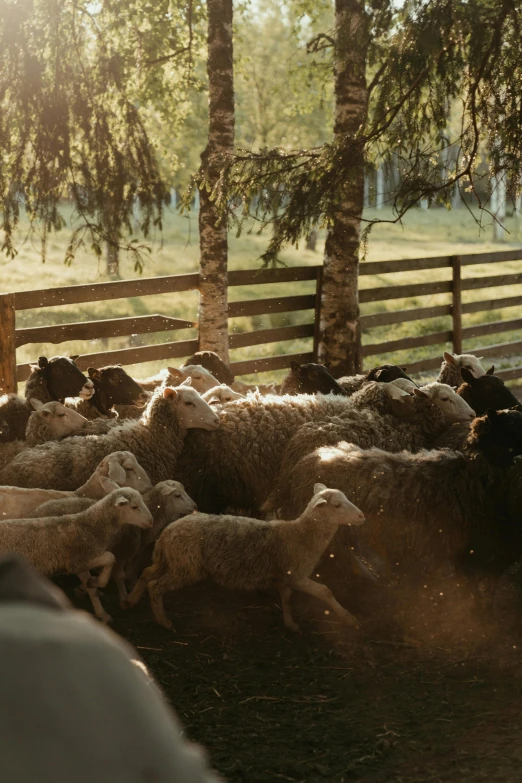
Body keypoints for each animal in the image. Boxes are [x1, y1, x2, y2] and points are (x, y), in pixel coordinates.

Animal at [0, 490, 152, 624]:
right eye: (134, 507)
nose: (151, 521)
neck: (90, 527)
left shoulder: (80, 566)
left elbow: (92, 590)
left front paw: (101, 611)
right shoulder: (79, 560)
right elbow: (110, 557)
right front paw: (98, 581)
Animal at [124, 480, 364, 632]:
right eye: (337, 505)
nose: (361, 516)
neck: (300, 535)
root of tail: (167, 532)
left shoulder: (283, 577)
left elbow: (286, 599)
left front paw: (290, 624)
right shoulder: (296, 575)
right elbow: (325, 591)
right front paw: (348, 618)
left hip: (170, 560)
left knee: (147, 572)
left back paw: (132, 599)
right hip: (185, 567)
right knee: (155, 586)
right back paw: (163, 621)